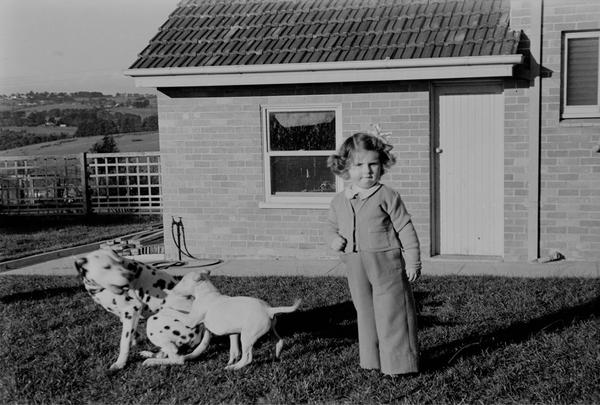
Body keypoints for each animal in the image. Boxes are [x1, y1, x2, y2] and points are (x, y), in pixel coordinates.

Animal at [144, 271, 301, 370]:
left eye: (182, 281)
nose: (172, 289)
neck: (207, 293)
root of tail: (269, 310)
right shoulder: (233, 332)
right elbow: (233, 349)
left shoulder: (191, 320)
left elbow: (179, 313)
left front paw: (167, 309)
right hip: (270, 329)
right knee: (279, 341)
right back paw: (277, 355)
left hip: (248, 336)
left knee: (248, 357)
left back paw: (234, 368)